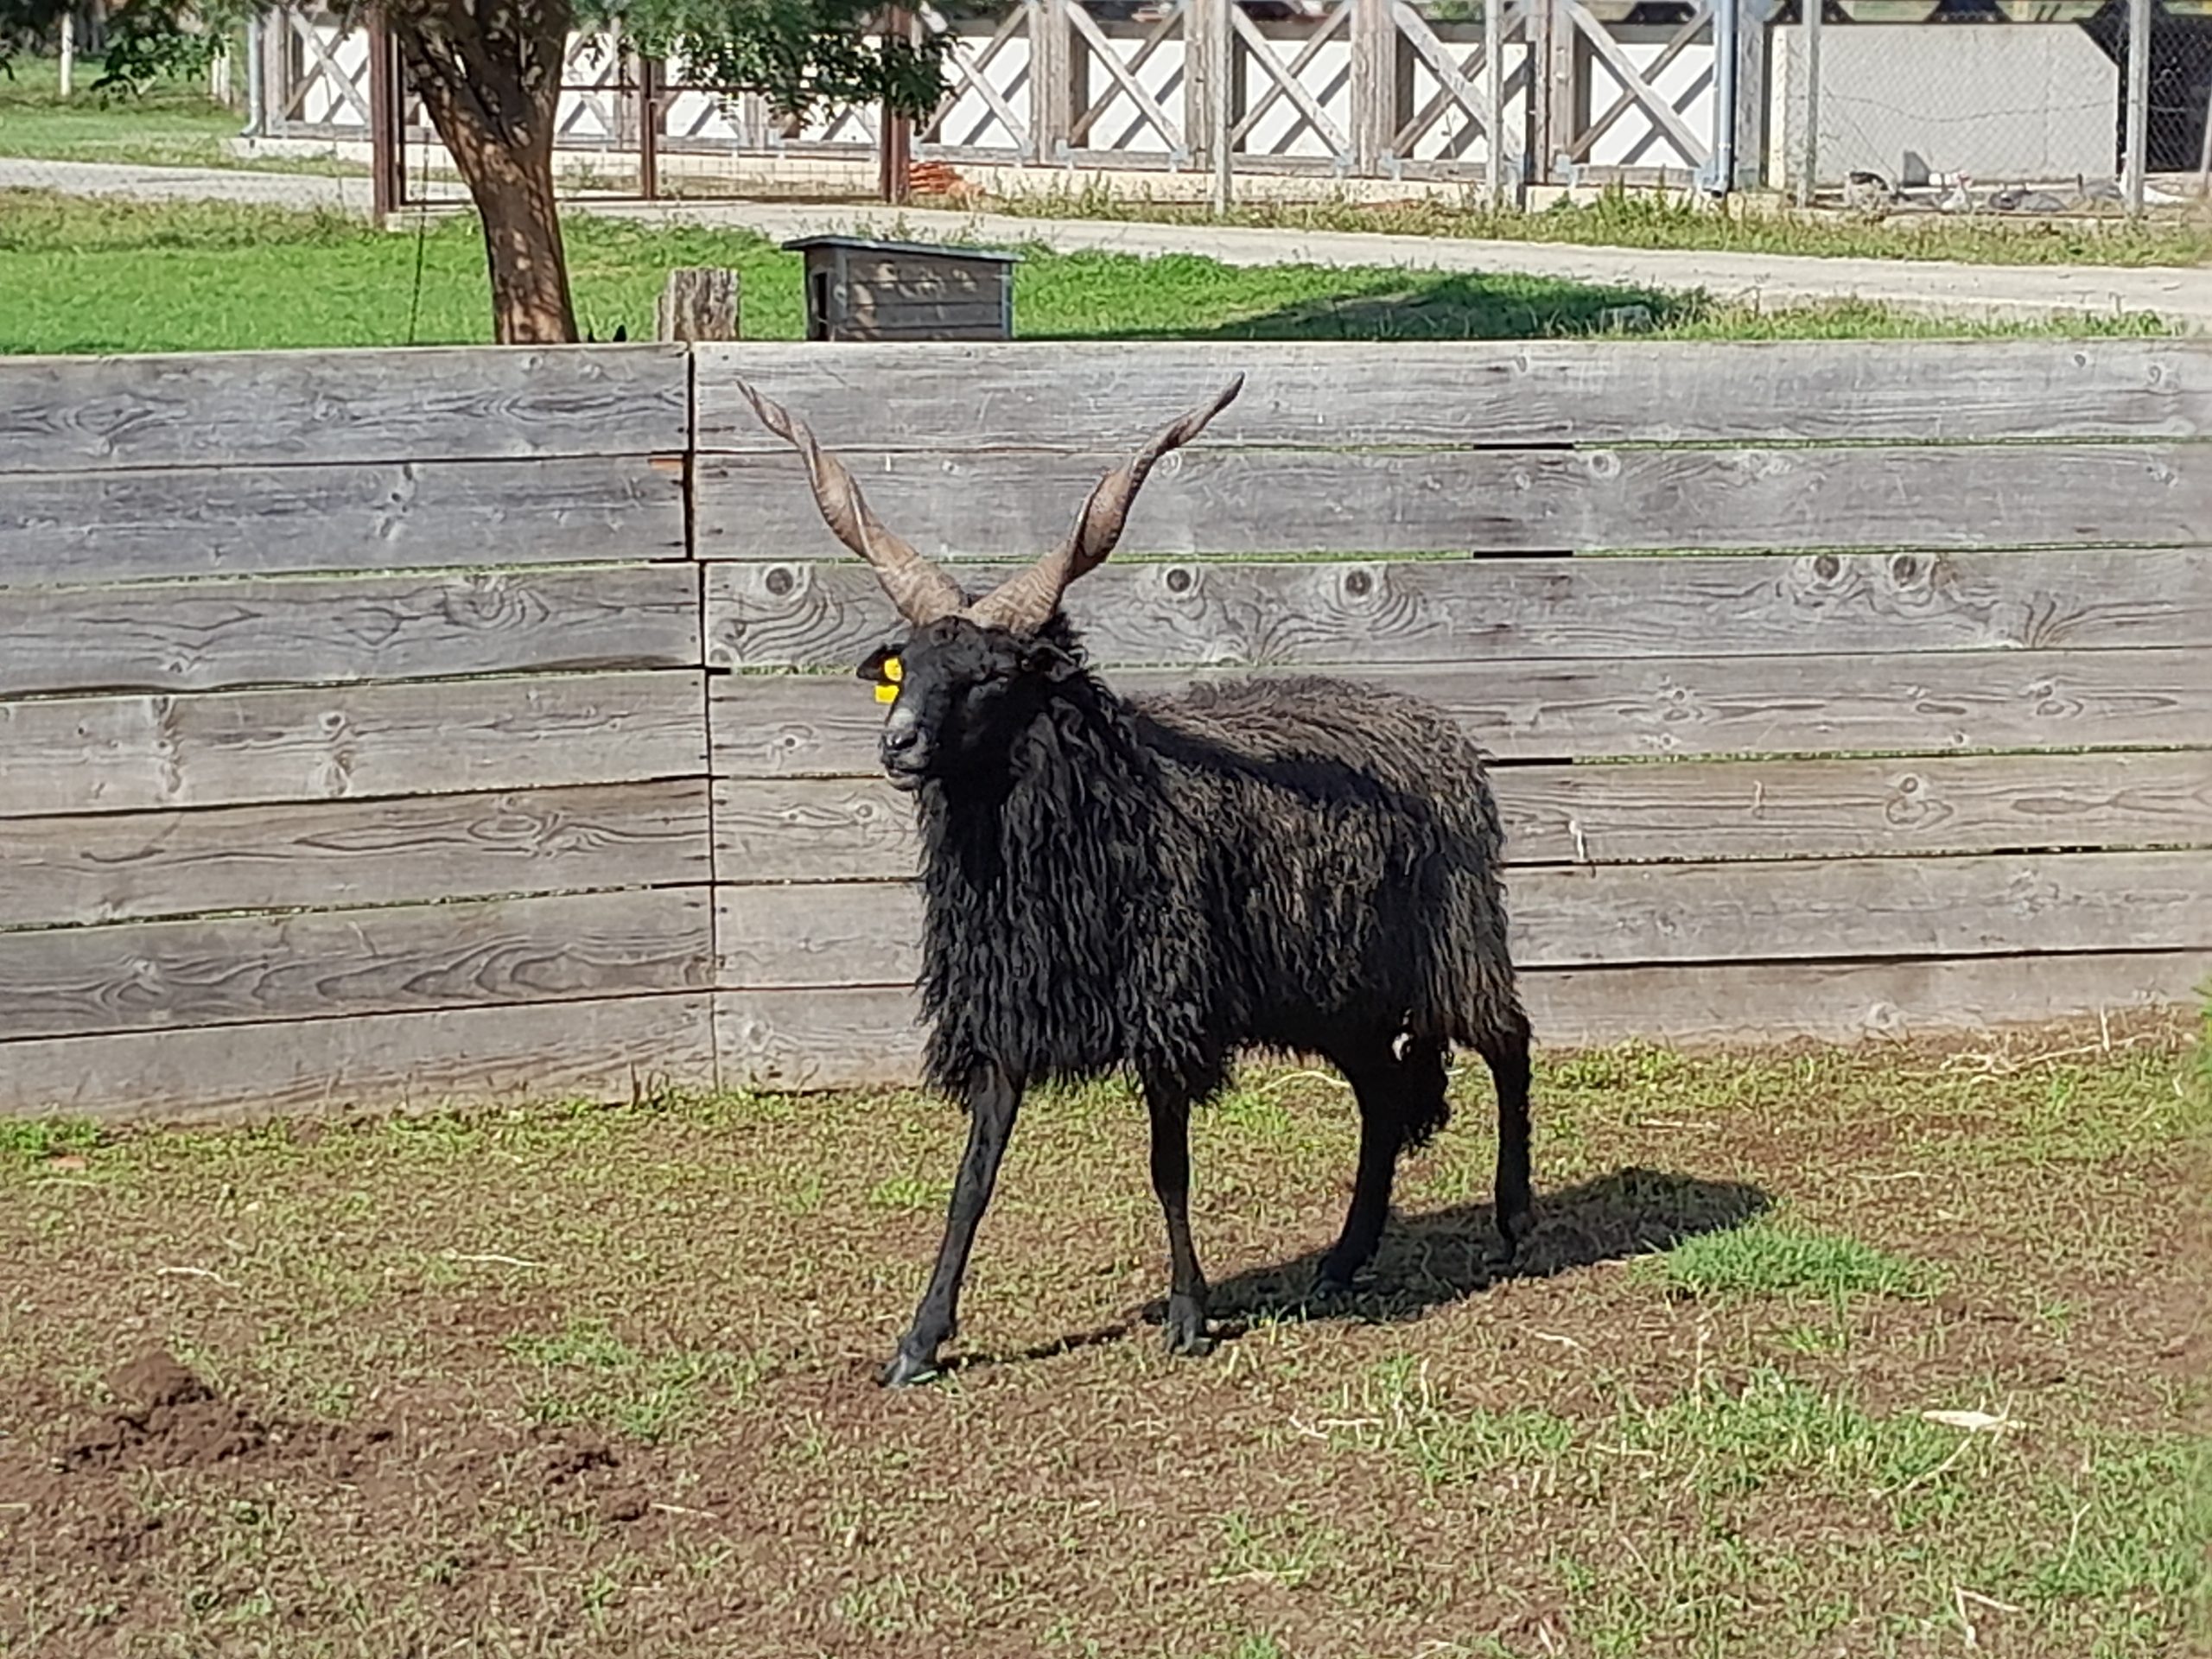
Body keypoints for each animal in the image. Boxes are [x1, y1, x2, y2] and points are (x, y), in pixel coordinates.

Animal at [743, 376, 1539, 1389]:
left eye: (991, 675)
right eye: (906, 670)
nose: (899, 744)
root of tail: (1441, 730)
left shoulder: (1167, 1008)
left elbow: (1169, 1169)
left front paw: (1189, 1315)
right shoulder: (1009, 1016)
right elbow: (973, 1179)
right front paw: (919, 1341)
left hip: (1458, 939)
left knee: (1508, 1043)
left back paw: (1514, 1218)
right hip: (1339, 992)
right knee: (1384, 1097)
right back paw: (1344, 1256)